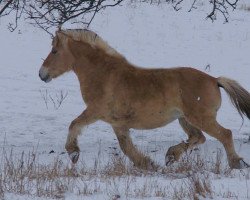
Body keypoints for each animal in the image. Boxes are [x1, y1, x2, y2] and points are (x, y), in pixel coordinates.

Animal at [38, 28, 250, 170]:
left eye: (54, 51)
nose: (42, 74)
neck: (103, 74)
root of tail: (214, 80)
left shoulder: (95, 111)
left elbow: (74, 124)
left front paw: (73, 152)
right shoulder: (118, 123)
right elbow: (126, 147)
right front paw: (147, 164)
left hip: (200, 118)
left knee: (225, 134)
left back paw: (237, 163)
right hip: (185, 119)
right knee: (198, 137)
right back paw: (171, 156)